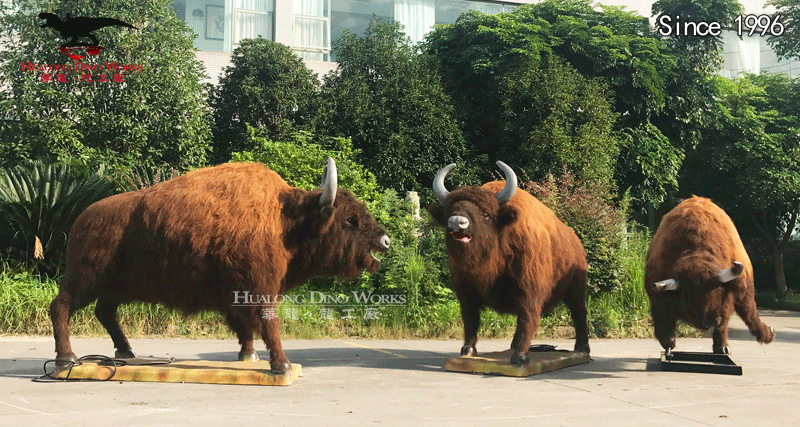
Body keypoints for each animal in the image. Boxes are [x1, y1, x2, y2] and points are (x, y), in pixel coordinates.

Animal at [48, 159, 390, 372]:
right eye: (349, 219)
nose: (384, 240)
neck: (285, 219)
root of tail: (81, 220)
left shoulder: (239, 295)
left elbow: (247, 326)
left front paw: (248, 356)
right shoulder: (261, 290)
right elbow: (269, 324)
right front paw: (281, 365)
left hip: (115, 287)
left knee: (104, 312)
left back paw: (126, 352)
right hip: (84, 280)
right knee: (61, 307)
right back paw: (67, 359)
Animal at [428, 162, 592, 366]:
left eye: (486, 214)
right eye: (449, 210)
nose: (457, 222)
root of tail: (576, 243)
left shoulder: (529, 290)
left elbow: (527, 318)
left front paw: (520, 357)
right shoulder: (465, 291)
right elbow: (470, 319)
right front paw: (468, 350)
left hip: (575, 290)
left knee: (579, 314)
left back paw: (582, 348)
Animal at [644, 196, 776, 354]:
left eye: (718, 293)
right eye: (690, 298)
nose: (710, 321)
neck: (697, 252)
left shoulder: (727, 299)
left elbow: (724, 323)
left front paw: (722, 347)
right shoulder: (659, 300)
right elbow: (664, 326)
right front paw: (669, 344)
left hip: (745, 291)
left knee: (749, 313)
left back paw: (767, 334)